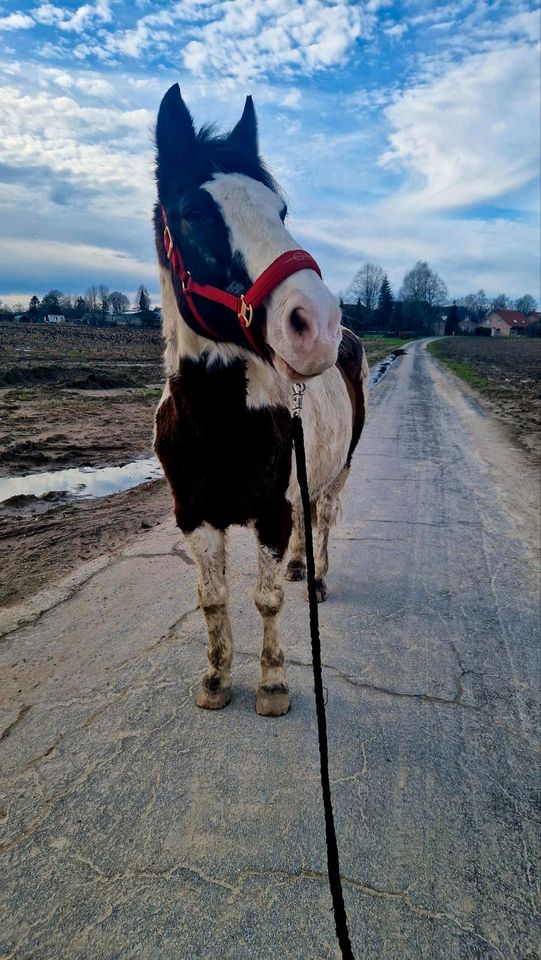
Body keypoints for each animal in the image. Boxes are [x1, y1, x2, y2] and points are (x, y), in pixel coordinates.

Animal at [154, 86, 370, 716]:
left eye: (281, 212)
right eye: (195, 212)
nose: (317, 323)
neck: (217, 420)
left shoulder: (270, 513)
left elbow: (266, 599)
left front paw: (272, 685)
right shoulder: (195, 515)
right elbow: (213, 599)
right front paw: (215, 679)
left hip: (338, 470)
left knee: (322, 516)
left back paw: (315, 575)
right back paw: (300, 565)